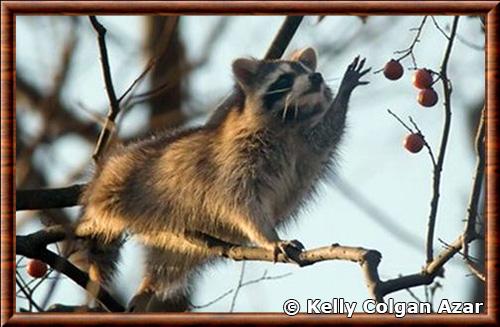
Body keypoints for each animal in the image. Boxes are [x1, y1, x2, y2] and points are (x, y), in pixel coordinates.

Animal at [76, 48, 370, 312]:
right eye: (284, 78)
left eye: (307, 69)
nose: (316, 77)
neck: (288, 121)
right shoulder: (236, 160)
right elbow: (241, 201)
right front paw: (269, 237)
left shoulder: (307, 148)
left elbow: (327, 135)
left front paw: (343, 96)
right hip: (126, 177)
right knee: (106, 206)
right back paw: (96, 219)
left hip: (182, 245)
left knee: (168, 265)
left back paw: (149, 285)